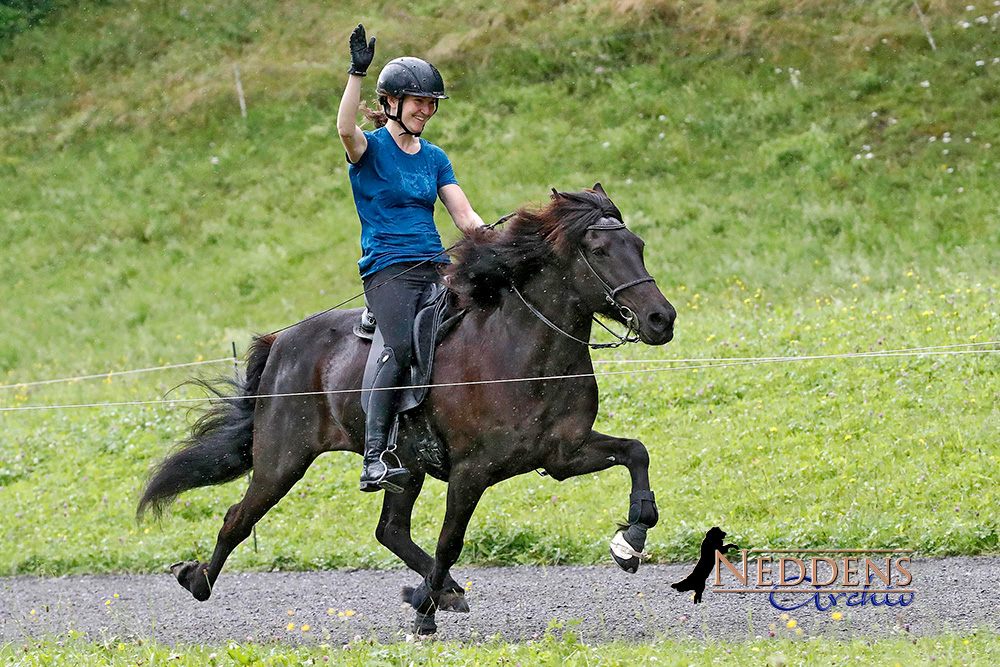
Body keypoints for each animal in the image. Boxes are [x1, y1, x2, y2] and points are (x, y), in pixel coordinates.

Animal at [137, 185, 676, 636]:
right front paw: (424, 614)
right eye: (600, 250)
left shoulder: (563, 454)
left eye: (639, 245)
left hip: (406, 467)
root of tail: (281, 342)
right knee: (239, 517)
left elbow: (637, 452)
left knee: (390, 530)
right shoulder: (472, 472)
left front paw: (631, 539)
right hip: (282, 460)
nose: (661, 319)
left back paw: (443, 591)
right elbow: (450, 541)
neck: (523, 354)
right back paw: (197, 579)